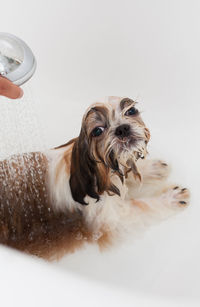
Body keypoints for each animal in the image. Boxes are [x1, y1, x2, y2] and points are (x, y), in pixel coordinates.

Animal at [0, 96, 190, 260]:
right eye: (97, 130)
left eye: (131, 110)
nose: (122, 128)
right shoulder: (113, 220)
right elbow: (142, 204)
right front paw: (171, 198)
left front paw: (153, 168)